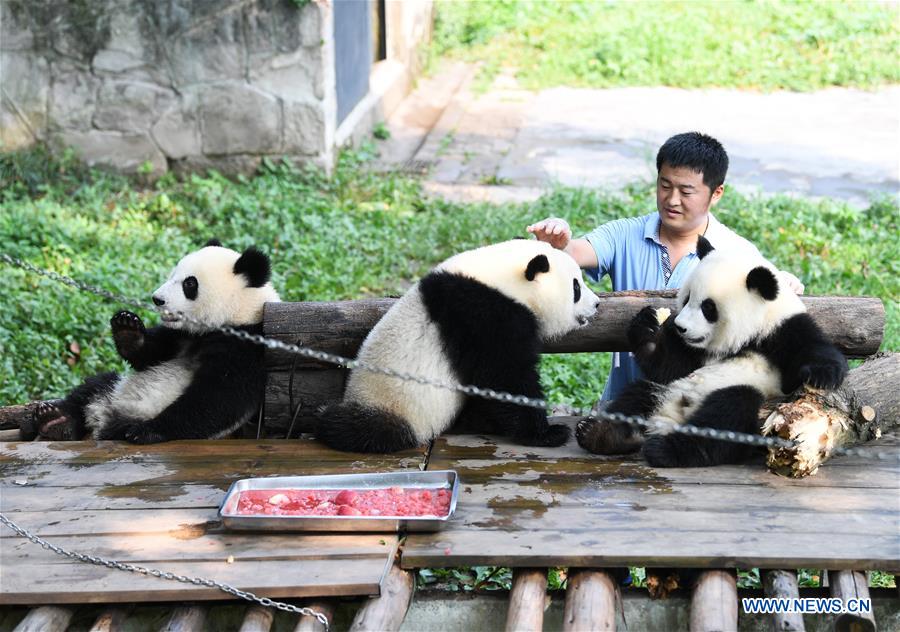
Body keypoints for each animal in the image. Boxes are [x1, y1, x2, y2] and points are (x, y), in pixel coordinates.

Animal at [26, 242, 280, 444]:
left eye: (190, 284)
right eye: (173, 273)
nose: (157, 299)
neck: (236, 315)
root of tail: (102, 417)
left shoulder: (246, 347)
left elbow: (219, 397)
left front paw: (146, 431)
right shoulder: (180, 336)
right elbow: (149, 356)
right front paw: (127, 327)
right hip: (114, 387)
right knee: (91, 389)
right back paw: (56, 420)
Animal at [312, 239, 600, 452]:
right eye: (576, 287)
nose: (597, 304)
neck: (504, 278)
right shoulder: (485, 315)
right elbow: (505, 376)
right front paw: (548, 433)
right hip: (393, 405)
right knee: (358, 429)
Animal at [580, 235, 848, 466]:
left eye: (708, 307)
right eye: (687, 298)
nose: (680, 327)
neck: (745, 338)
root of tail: (669, 419)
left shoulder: (782, 330)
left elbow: (810, 348)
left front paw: (822, 375)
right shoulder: (693, 353)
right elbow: (670, 366)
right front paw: (647, 326)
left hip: (748, 402)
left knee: (728, 412)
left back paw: (665, 450)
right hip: (665, 390)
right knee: (637, 395)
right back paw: (602, 434)